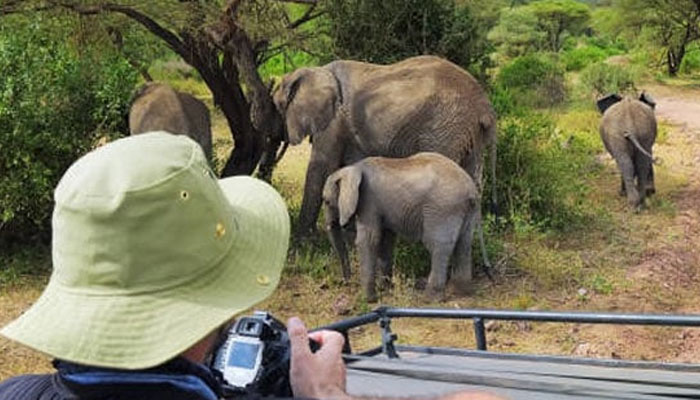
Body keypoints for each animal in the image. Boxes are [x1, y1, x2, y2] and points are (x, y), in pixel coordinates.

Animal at [273, 55, 497, 236]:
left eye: (278, 106)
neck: (314, 70)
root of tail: (484, 106)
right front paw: (351, 234)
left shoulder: (334, 120)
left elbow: (321, 167)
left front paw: (304, 238)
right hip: (469, 134)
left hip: (444, 128)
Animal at [322, 152, 481, 301]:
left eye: (326, 201)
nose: (345, 282)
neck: (353, 168)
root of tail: (471, 190)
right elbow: (386, 240)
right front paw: (384, 289)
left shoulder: (367, 201)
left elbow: (369, 239)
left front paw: (368, 299)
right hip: (466, 210)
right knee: (464, 243)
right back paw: (461, 292)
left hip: (443, 209)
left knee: (437, 246)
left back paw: (430, 298)